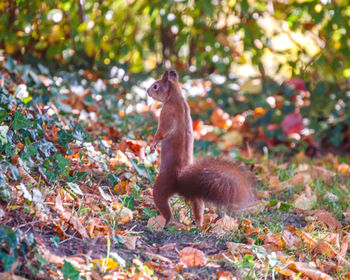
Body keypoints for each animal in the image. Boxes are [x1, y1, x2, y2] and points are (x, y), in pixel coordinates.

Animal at [146, 70, 256, 228]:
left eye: (156, 86)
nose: (147, 91)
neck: (176, 97)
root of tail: (180, 182)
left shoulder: (167, 114)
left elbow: (161, 132)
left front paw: (153, 144)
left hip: (160, 186)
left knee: (164, 206)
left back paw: (163, 222)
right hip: (197, 197)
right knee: (198, 205)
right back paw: (198, 224)